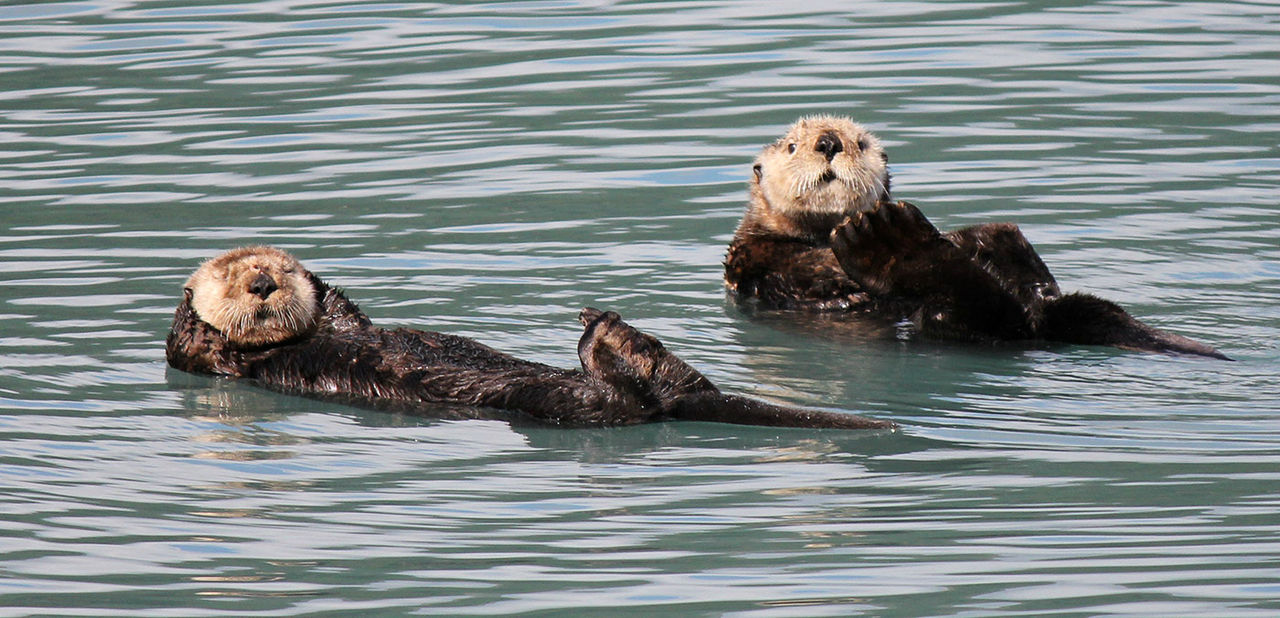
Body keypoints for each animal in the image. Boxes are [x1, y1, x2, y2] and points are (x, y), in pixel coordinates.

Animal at [167, 246, 894, 429]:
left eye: (279, 270)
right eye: (231, 279)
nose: (264, 282)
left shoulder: (343, 322)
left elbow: (350, 317)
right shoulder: (221, 365)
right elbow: (198, 350)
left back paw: (617, 332)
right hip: (552, 406)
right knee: (619, 405)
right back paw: (602, 342)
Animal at [725, 115, 1227, 359]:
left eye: (861, 144)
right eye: (793, 146)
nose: (829, 142)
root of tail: (1043, 319)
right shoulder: (757, 258)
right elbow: (805, 270)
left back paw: (901, 242)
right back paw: (890, 244)